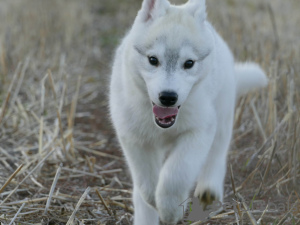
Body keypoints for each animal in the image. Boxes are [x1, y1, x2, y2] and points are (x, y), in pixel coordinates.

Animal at [109, 0, 268, 223]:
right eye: (153, 60)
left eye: (189, 63)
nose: (168, 97)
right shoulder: (133, 137)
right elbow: (147, 181)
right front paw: (154, 201)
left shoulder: (199, 131)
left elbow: (176, 174)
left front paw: (171, 209)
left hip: (222, 116)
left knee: (218, 152)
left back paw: (209, 190)